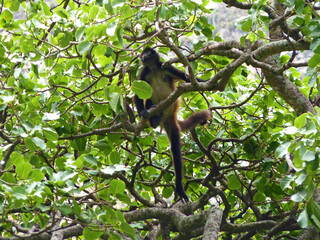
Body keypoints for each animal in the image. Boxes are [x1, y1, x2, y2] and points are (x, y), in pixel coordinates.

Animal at [134, 47, 211, 202]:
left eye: (148, 52)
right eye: (143, 54)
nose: (143, 55)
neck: (153, 69)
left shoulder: (165, 67)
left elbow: (187, 78)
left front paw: (208, 81)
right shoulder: (144, 72)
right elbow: (137, 94)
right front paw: (142, 112)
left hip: (171, 123)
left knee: (176, 150)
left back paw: (180, 187)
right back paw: (154, 117)